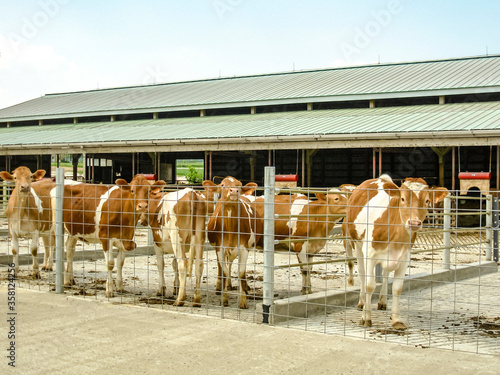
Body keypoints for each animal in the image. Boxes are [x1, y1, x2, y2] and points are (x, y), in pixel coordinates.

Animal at [205, 178, 264, 310]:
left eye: (240, 186)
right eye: (222, 185)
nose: (234, 191)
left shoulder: (244, 248)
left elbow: (241, 272)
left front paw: (242, 300)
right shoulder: (220, 248)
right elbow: (224, 271)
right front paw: (224, 298)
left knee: (233, 264)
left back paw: (240, 286)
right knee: (222, 266)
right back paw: (221, 286)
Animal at [344, 175, 450, 330]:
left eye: (427, 200)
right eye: (403, 199)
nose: (414, 223)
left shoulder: (404, 258)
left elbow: (397, 288)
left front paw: (396, 320)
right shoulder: (369, 255)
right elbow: (370, 285)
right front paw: (366, 317)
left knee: (385, 275)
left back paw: (382, 301)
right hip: (357, 244)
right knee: (363, 275)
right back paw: (362, 302)